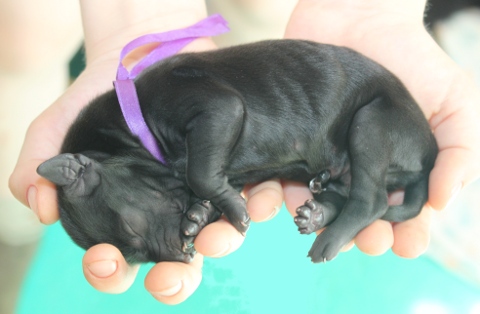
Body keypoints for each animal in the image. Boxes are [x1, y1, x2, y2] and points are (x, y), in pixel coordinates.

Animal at [37, 39, 436, 264]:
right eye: (135, 254)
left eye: (132, 230)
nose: (182, 256)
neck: (132, 123)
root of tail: (430, 152)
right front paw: (199, 216)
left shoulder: (216, 107)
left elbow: (201, 172)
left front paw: (230, 208)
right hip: (347, 163)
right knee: (348, 191)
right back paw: (317, 214)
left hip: (372, 123)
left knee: (371, 201)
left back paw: (328, 240)